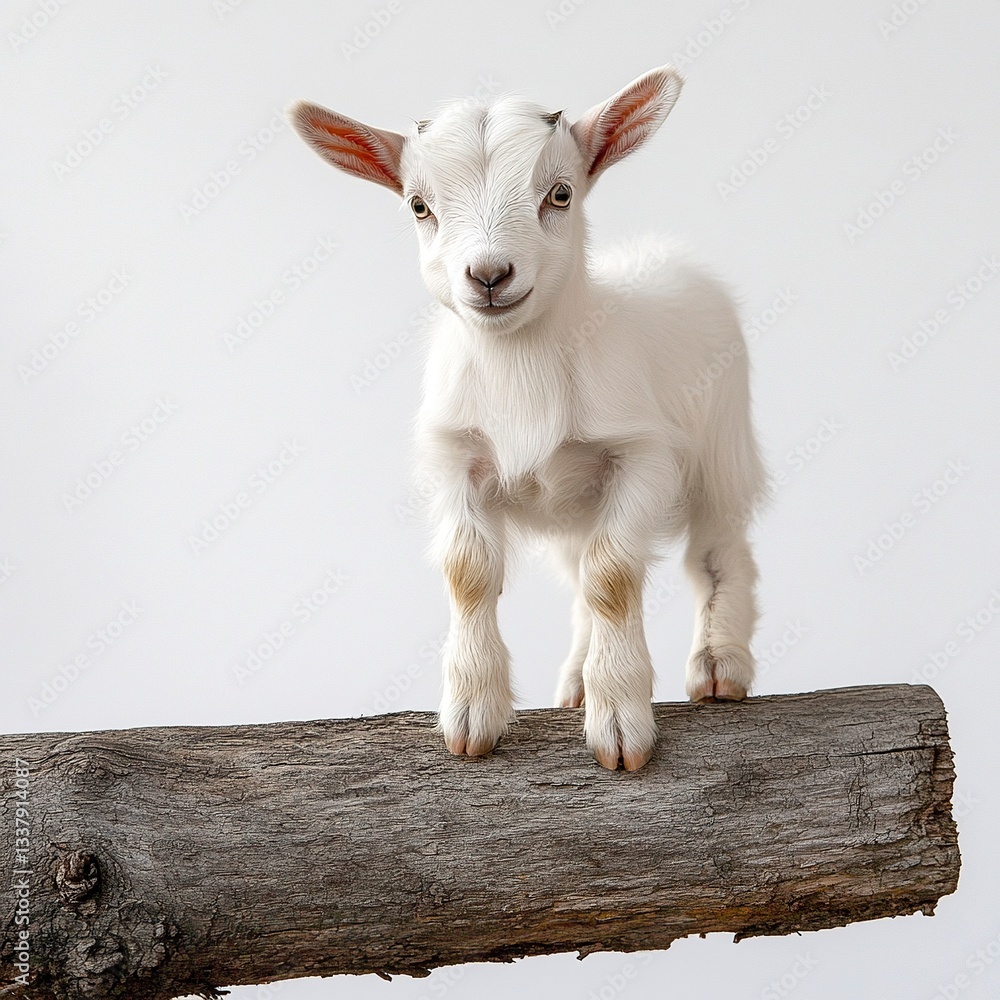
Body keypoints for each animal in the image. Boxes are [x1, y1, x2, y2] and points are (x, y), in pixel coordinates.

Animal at [290, 66, 766, 770]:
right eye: (419, 206)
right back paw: (577, 680)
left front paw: (620, 722)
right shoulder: (455, 459)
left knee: (717, 553)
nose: (489, 275)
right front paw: (472, 713)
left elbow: (613, 575)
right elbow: (471, 572)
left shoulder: (642, 456)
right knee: (582, 573)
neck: (521, 368)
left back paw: (718, 664)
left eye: (560, 193)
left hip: (721, 449)